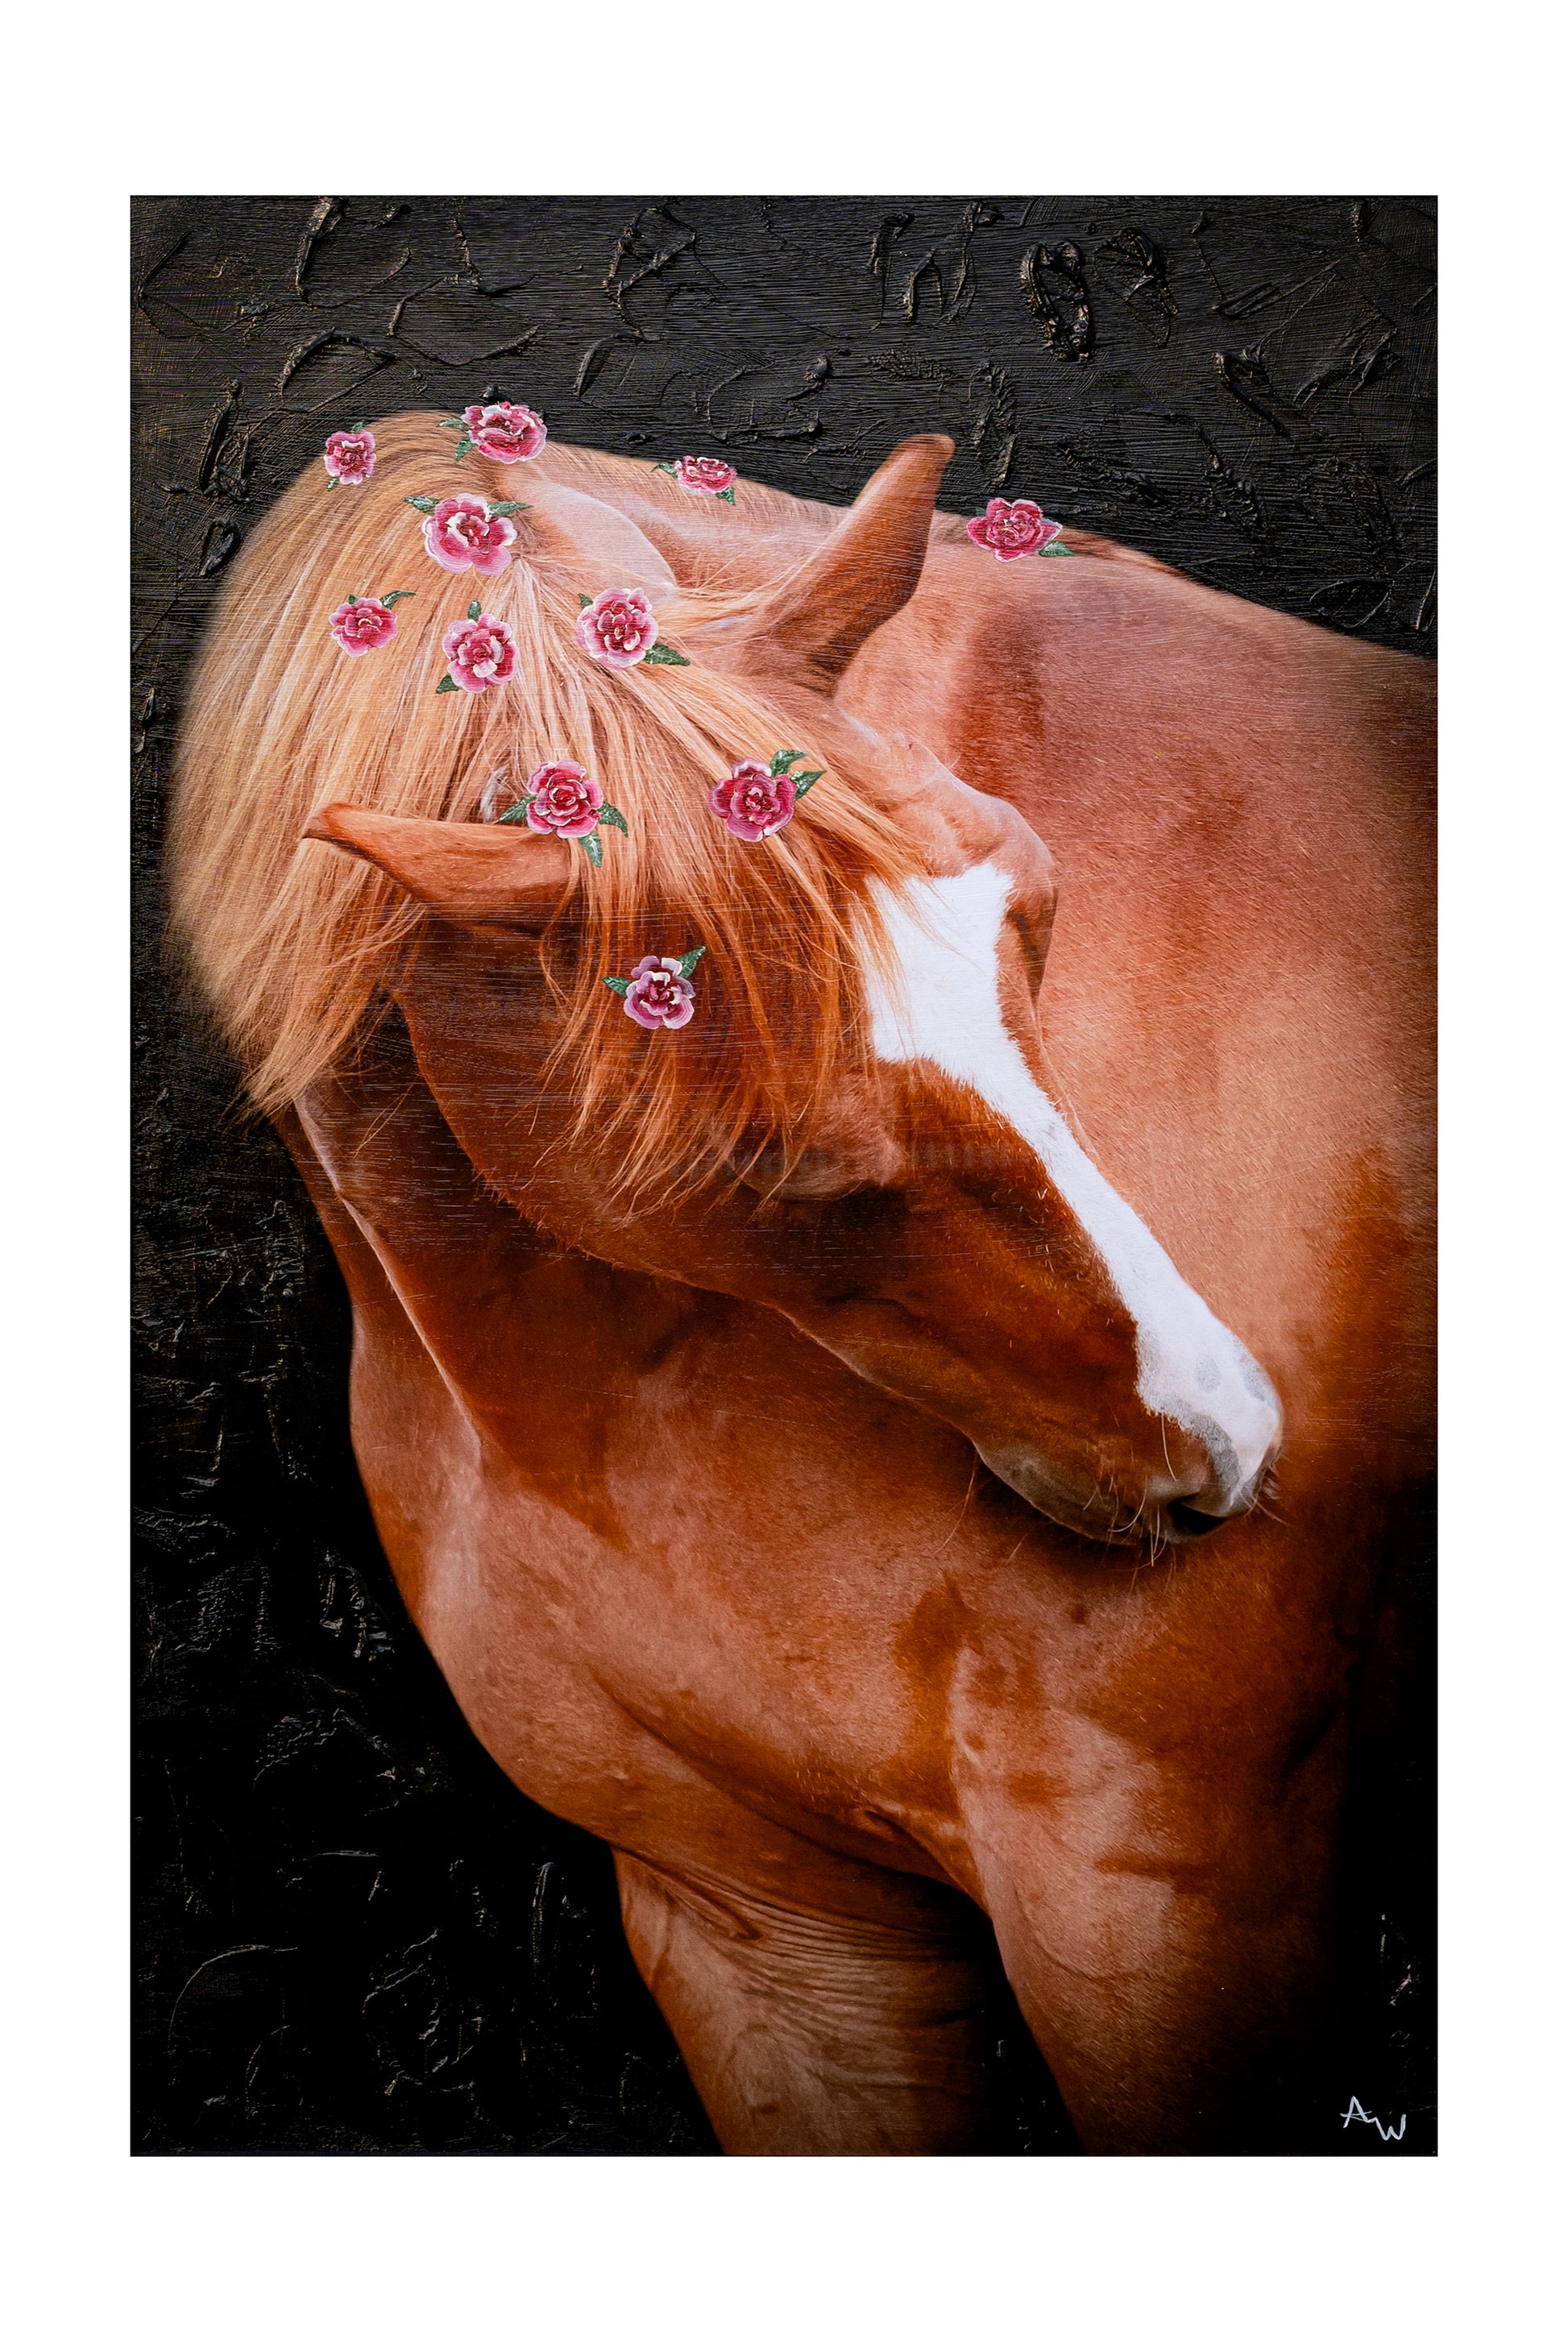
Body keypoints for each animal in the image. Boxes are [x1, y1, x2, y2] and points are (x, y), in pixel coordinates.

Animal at [169, 413, 1434, 2153]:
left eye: (1033, 903)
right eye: (774, 1164)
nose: (1224, 1434)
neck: (582, 1415)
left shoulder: (1167, 1916)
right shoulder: (765, 1934)